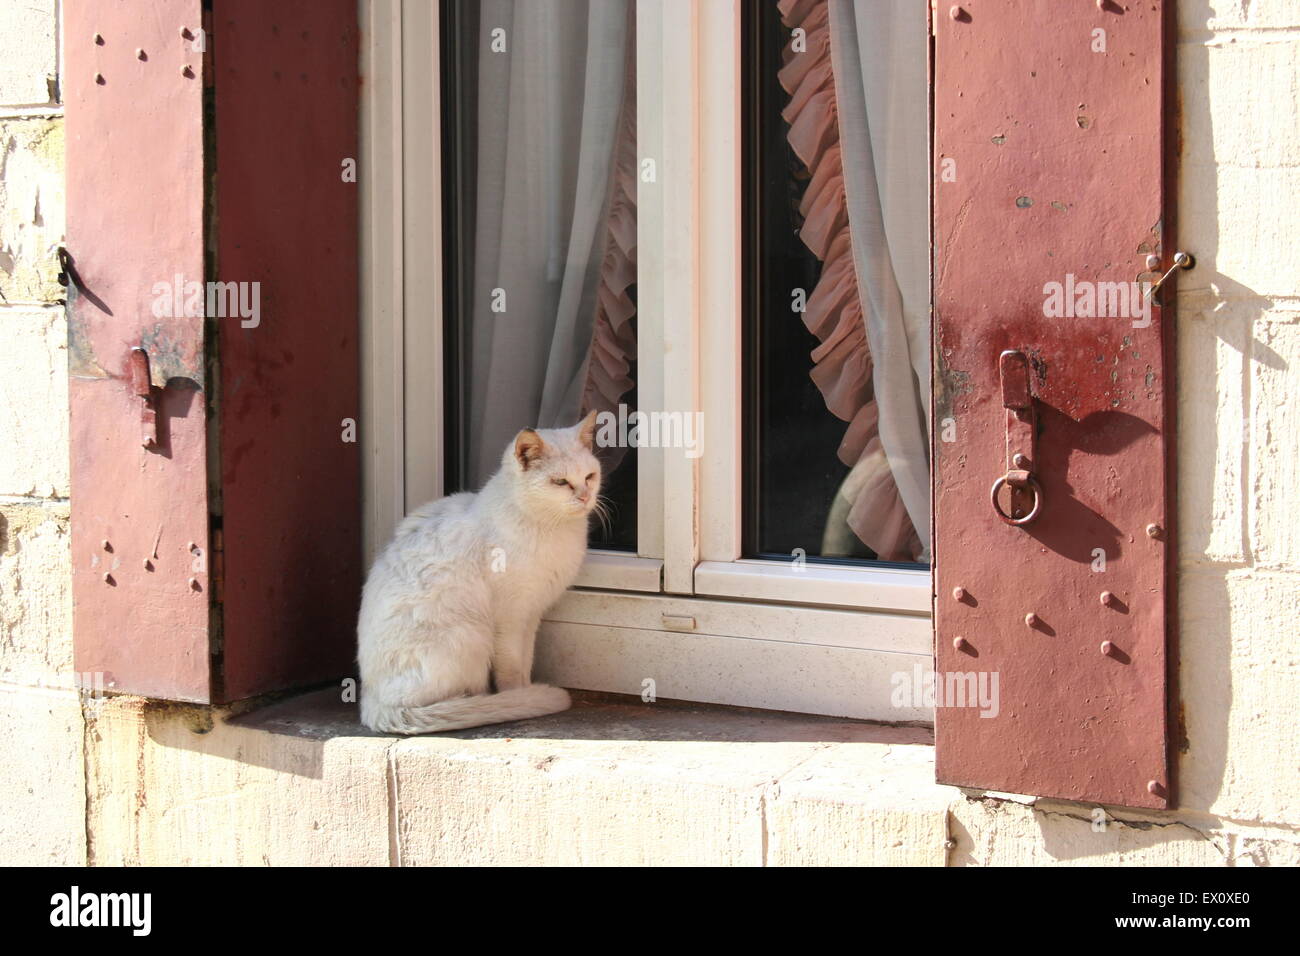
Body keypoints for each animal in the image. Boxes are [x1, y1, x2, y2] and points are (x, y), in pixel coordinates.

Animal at [356, 411, 598, 733]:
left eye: (589, 477)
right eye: (560, 482)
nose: (585, 497)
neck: (551, 527)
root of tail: (372, 704)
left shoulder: (531, 615)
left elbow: (525, 660)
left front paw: (525, 690)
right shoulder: (510, 619)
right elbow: (511, 668)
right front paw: (519, 697)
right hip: (470, 635)